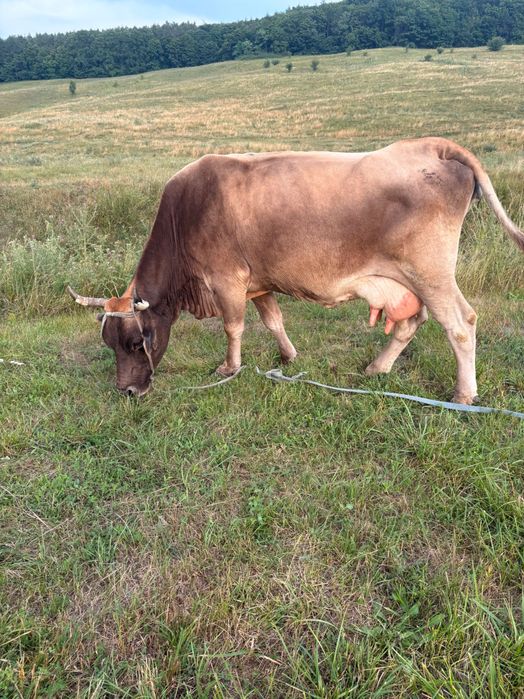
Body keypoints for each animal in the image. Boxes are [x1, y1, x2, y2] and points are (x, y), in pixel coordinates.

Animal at [68, 137, 523, 404]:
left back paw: (463, 394)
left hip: (431, 272)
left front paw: (229, 368)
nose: (126, 389)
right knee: (411, 323)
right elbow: (273, 320)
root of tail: (432, 145)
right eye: (108, 343)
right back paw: (377, 368)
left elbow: (233, 327)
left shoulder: (227, 280)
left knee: (460, 324)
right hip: (408, 281)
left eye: (135, 343)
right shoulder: (258, 281)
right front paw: (288, 356)